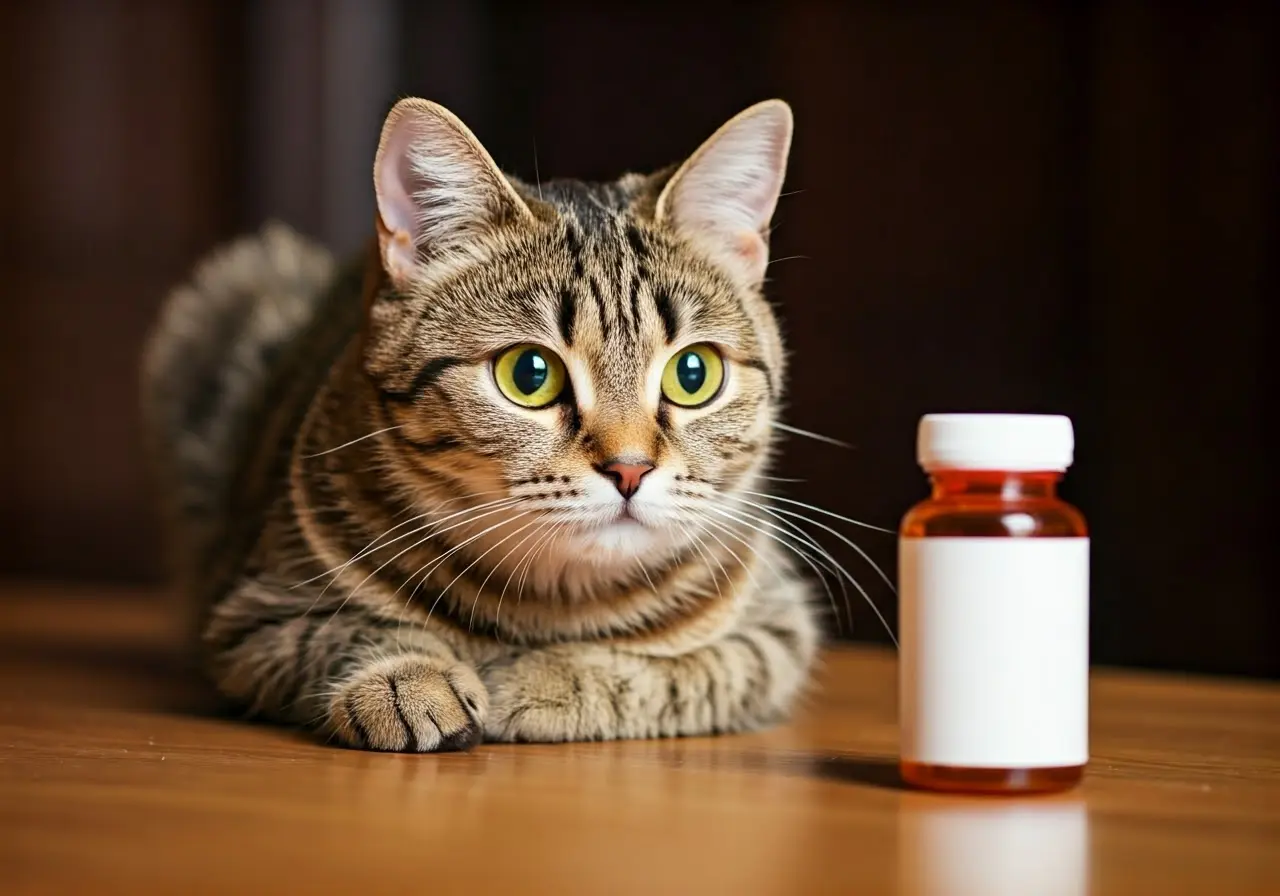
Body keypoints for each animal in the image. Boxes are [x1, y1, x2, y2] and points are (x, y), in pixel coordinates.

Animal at [140, 96, 819, 747]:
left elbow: (670, 674)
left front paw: (538, 680)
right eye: (530, 374)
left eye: (693, 373)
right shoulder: (253, 617)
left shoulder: (775, 634)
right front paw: (408, 680)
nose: (630, 469)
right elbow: (349, 631)